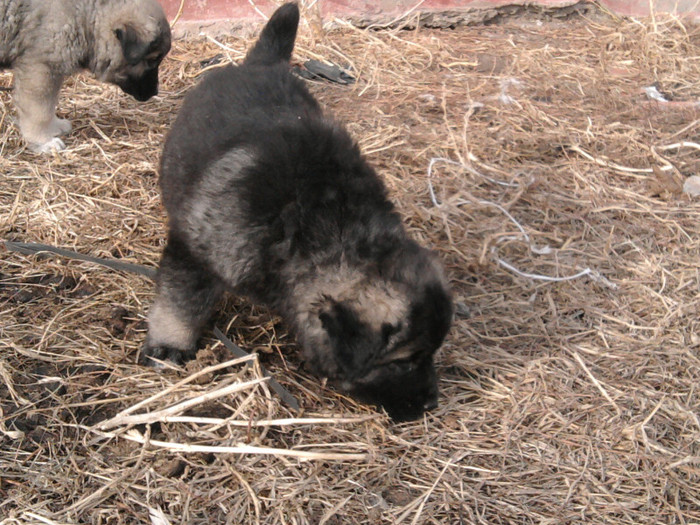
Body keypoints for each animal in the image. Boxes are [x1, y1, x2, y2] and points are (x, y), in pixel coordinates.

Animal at [0, 0, 170, 152]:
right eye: (153, 59)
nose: (155, 92)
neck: (86, 15)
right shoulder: (41, 68)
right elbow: (39, 111)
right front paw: (43, 141)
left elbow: (50, 103)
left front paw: (54, 125)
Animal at [144, 3, 454, 422]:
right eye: (404, 361)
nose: (431, 404)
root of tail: (260, 65)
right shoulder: (194, 253)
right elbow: (179, 301)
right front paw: (169, 344)